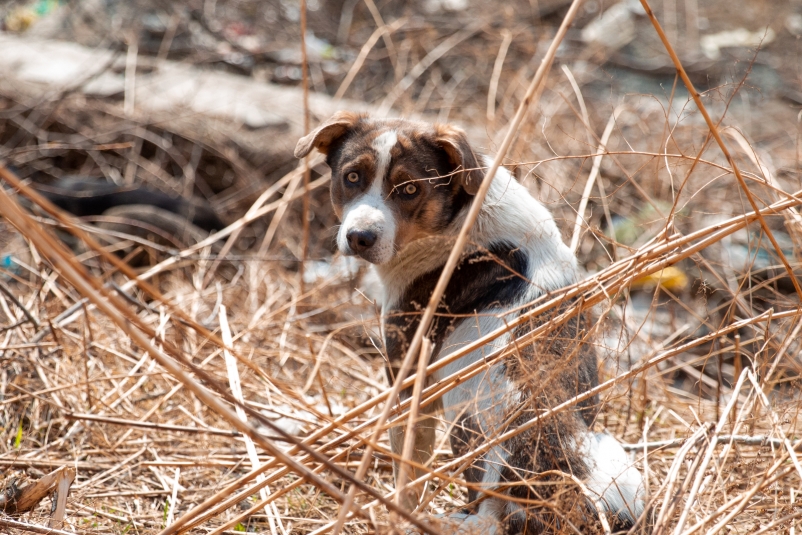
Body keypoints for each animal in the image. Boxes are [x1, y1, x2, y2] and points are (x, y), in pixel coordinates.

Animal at [294, 112, 644, 532]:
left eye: (410, 188)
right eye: (351, 177)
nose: (360, 237)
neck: (461, 215)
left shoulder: (409, 385)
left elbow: (408, 472)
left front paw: (400, 512)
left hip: (472, 431)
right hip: (613, 460)